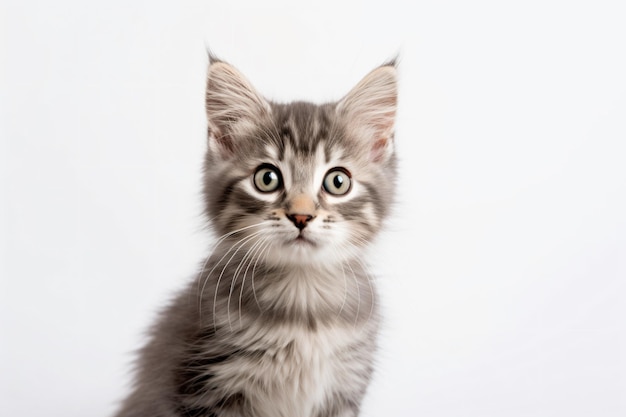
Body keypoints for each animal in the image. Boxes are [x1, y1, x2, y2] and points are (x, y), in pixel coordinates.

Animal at [114, 56, 398, 416]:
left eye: (337, 181)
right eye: (267, 178)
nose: (301, 216)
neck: (302, 306)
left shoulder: (344, 388)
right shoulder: (208, 383)